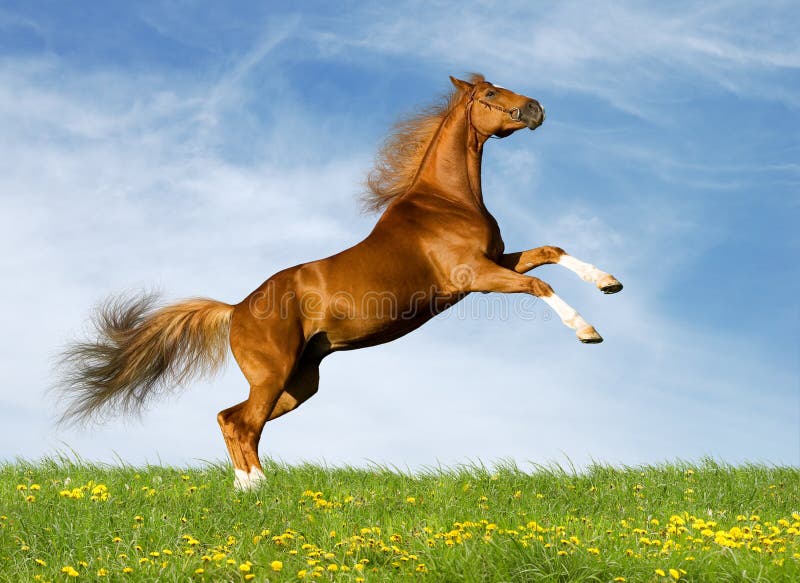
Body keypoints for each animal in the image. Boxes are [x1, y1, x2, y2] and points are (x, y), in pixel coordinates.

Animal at [58, 74, 622, 490]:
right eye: (488, 96)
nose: (536, 108)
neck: (446, 201)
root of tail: (235, 309)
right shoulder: (476, 276)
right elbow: (540, 287)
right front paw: (588, 331)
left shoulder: (500, 259)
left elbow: (551, 252)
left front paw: (609, 282)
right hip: (273, 375)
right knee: (241, 422)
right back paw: (259, 489)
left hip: (298, 384)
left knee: (230, 418)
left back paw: (246, 489)